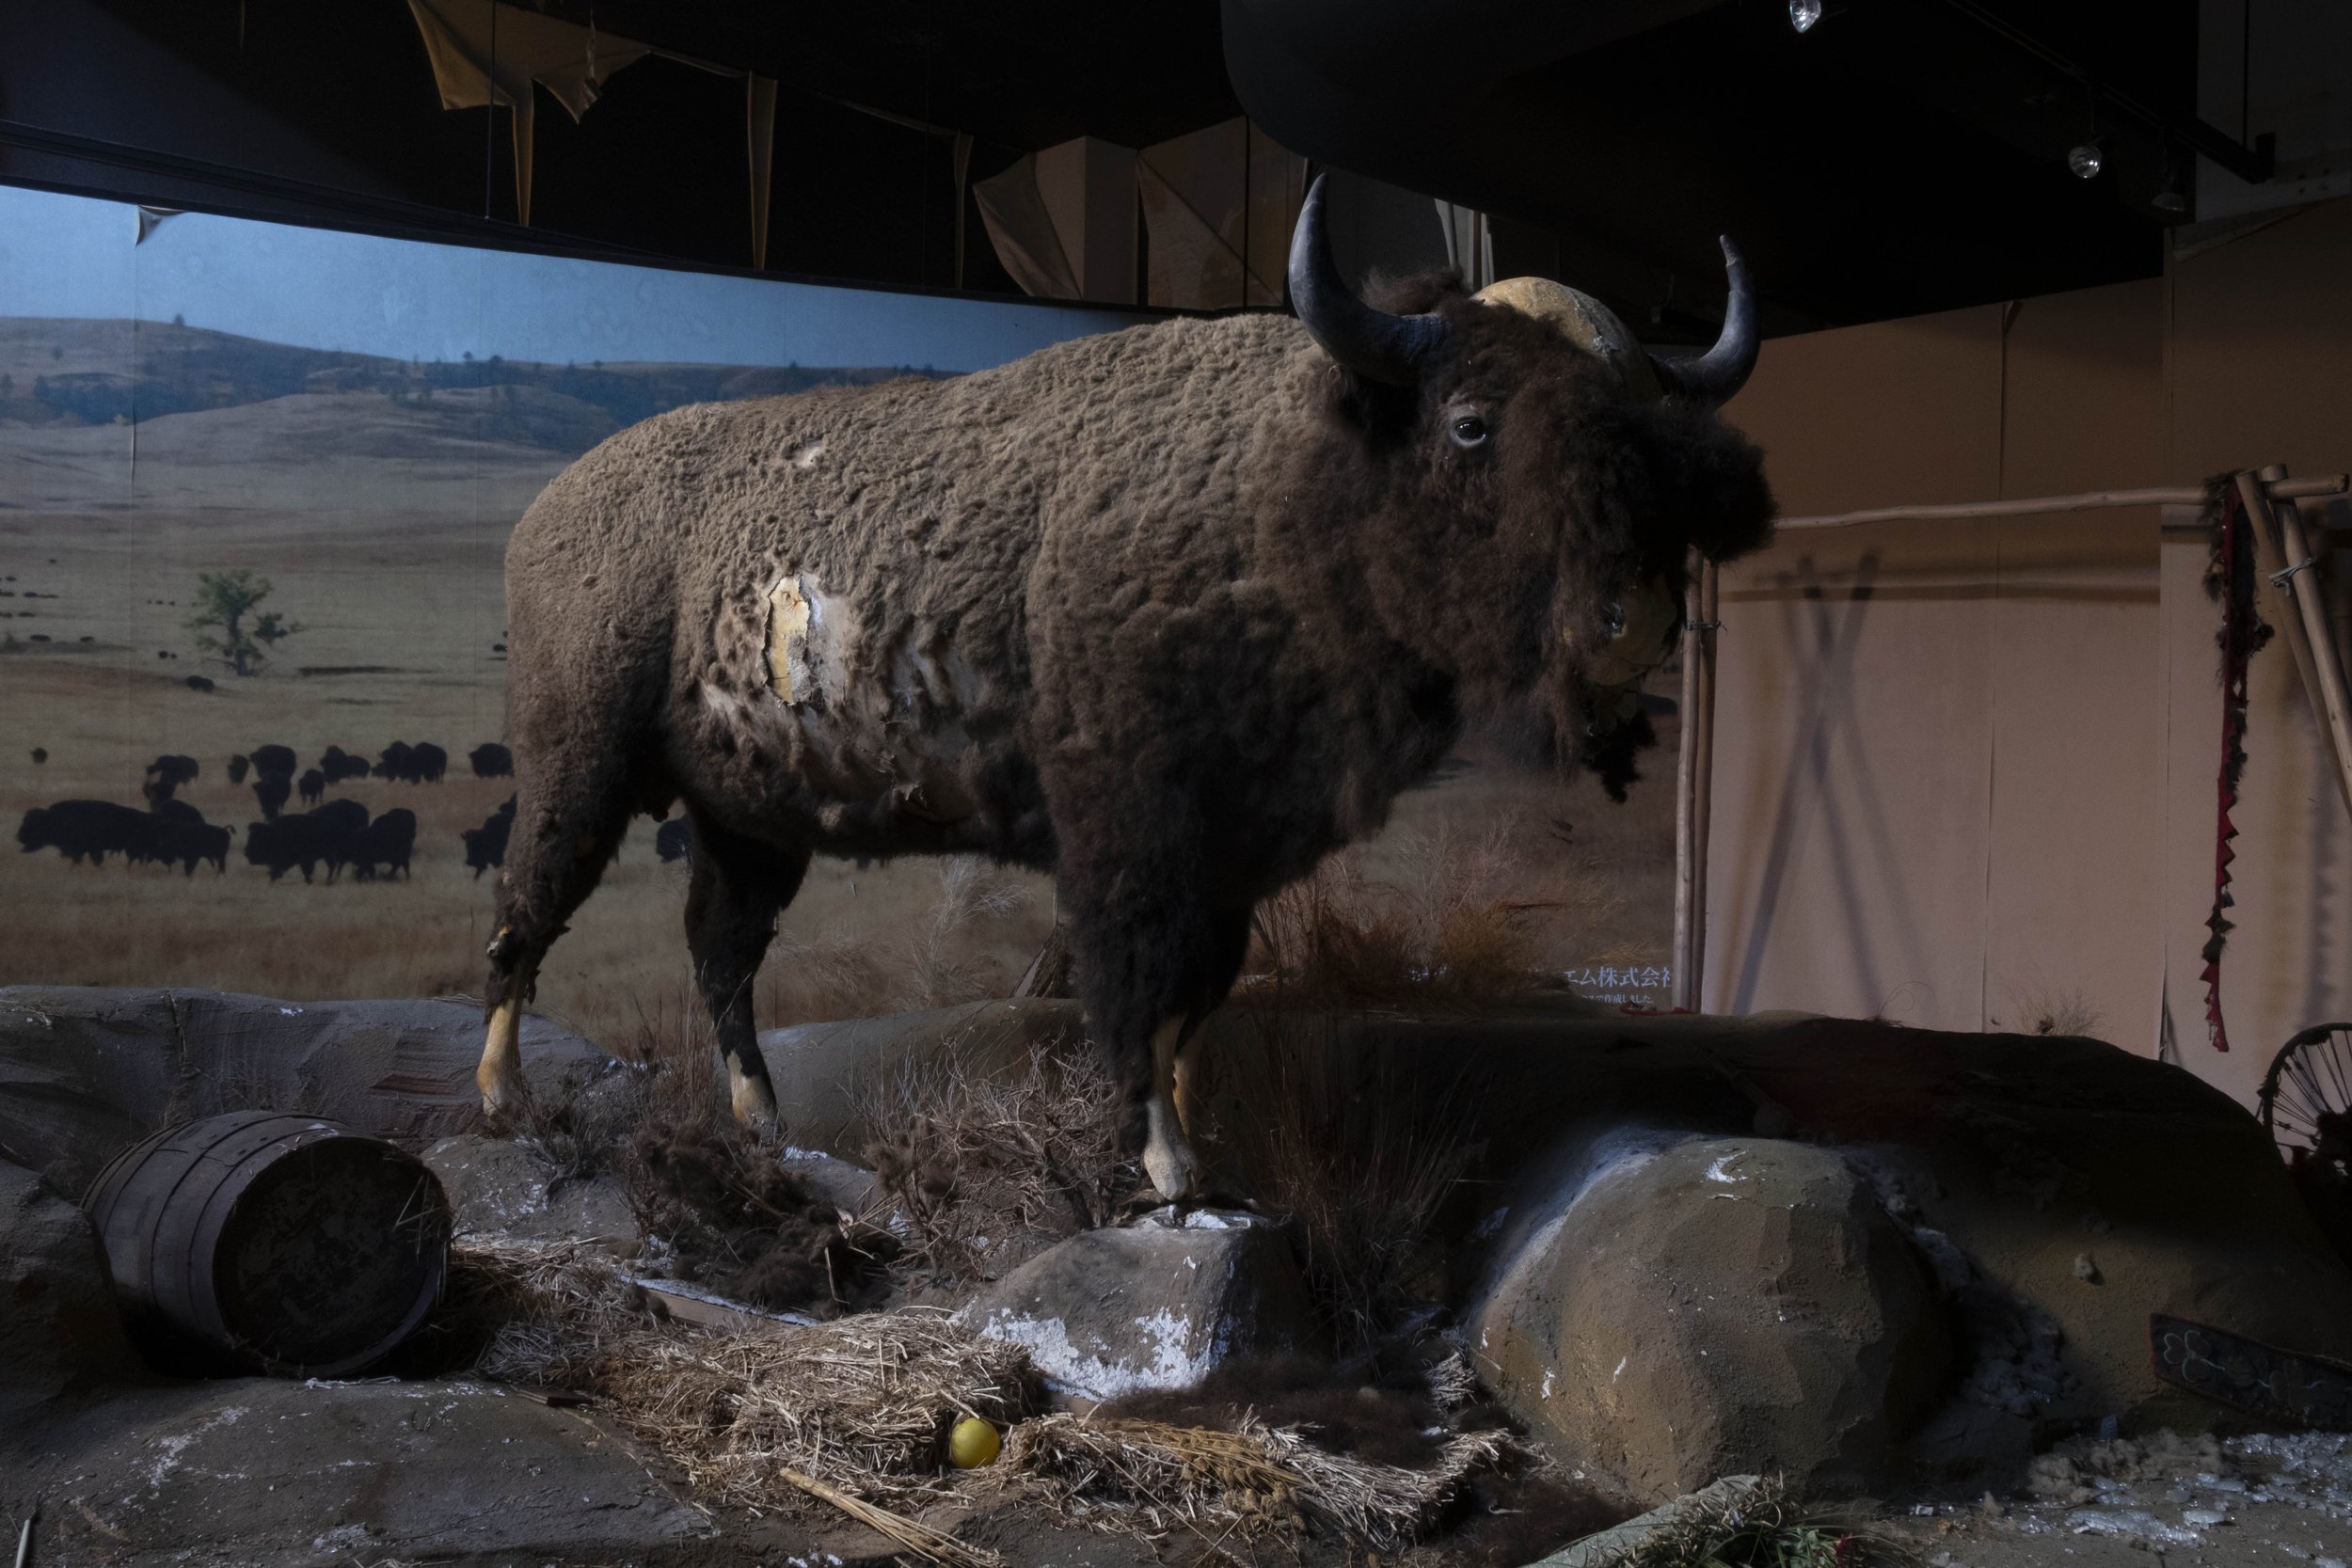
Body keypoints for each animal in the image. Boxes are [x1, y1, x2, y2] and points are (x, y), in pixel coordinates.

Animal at [470, 181, 1773, 1200]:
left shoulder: (1236, 854)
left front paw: (1207, 1157)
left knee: (719, 952)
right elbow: (1133, 991)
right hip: (581, 764)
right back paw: (505, 1100)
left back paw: (766, 1125)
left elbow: (1197, 999)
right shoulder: (1131, 835)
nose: (1634, 619)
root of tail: (547, 507)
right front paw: (1164, 1168)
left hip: (749, 817)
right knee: (528, 912)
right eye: (1469, 421)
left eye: (1647, 432)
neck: (1286, 478)